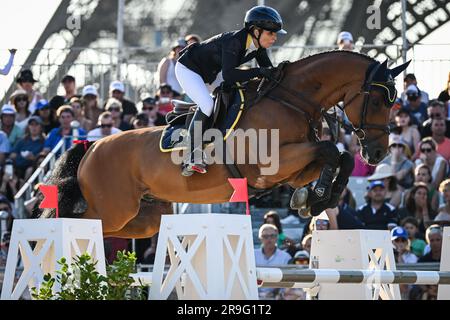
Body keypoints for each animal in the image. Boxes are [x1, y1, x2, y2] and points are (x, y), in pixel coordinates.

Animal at [40, 51, 410, 239]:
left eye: (395, 101)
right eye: (380, 100)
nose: (378, 152)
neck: (291, 100)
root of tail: (91, 147)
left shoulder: (293, 169)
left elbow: (339, 157)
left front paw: (313, 199)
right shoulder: (270, 166)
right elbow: (332, 150)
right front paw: (316, 197)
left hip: (143, 216)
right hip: (114, 209)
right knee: (81, 222)